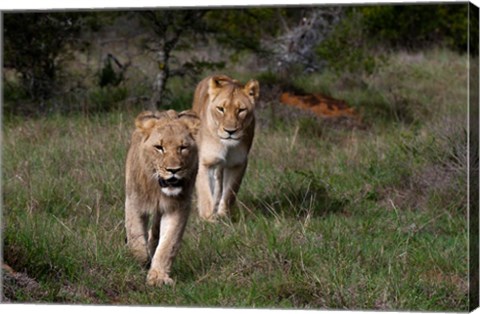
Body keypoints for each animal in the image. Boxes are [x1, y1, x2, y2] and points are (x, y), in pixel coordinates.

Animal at [124, 109, 200, 286]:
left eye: (183, 147)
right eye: (159, 147)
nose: (173, 170)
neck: (158, 190)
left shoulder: (177, 208)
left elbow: (168, 244)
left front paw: (158, 277)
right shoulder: (134, 202)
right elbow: (135, 236)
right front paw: (141, 260)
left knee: (156, 232)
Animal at [190, 74, 258, 221]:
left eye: (241, 110)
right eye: (221, 109)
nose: (230, 131)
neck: (227, 146)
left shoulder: (238, 164)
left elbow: (229, 193)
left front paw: (223, 216)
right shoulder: (206, 162)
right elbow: (205, 193)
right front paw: (208, 219)